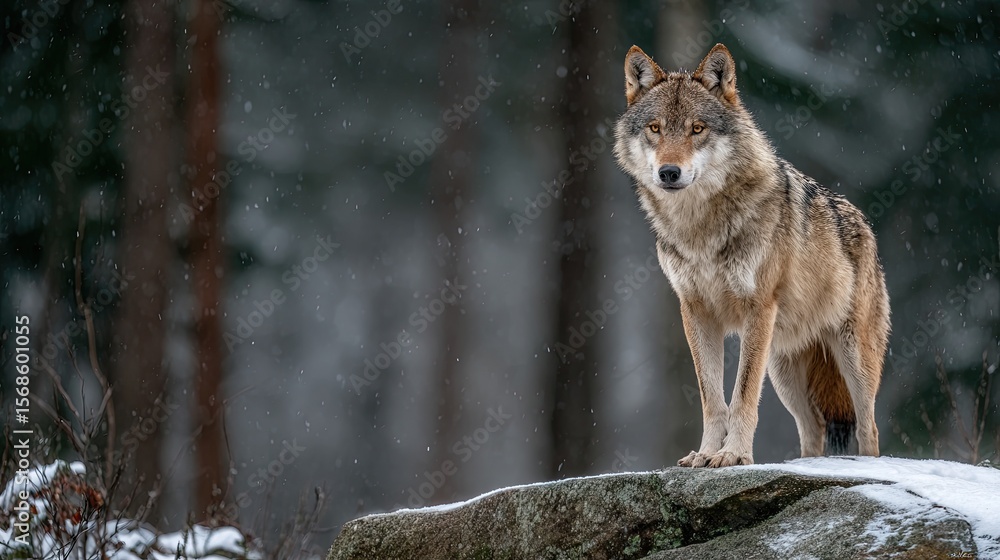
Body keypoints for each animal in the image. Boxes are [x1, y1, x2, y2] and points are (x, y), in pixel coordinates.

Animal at [613, 44, 890, 467]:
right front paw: (706, 453)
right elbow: (712, 397)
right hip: (783, 371)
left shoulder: (757, 307)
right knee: (813, 429)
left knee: (868, 428)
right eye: (655, 128)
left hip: (851, 359)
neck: (700, 229)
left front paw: (733, 455)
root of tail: (864, 223)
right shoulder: (695, 311)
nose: (669, 172)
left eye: (697, 129)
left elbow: (742, 394)